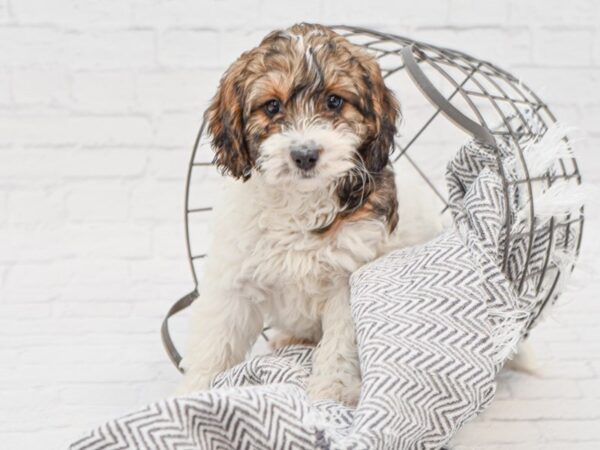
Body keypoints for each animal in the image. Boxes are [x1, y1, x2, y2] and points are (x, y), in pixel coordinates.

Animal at [176, 22, 434, 406]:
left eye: (334, 101)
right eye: (271, 106)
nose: (305, 154)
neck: (299, 202)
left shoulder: (347, 283)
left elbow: (340, 344)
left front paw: (331, 393)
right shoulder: (235, 278)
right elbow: (216, 339)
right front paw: (191, 393)